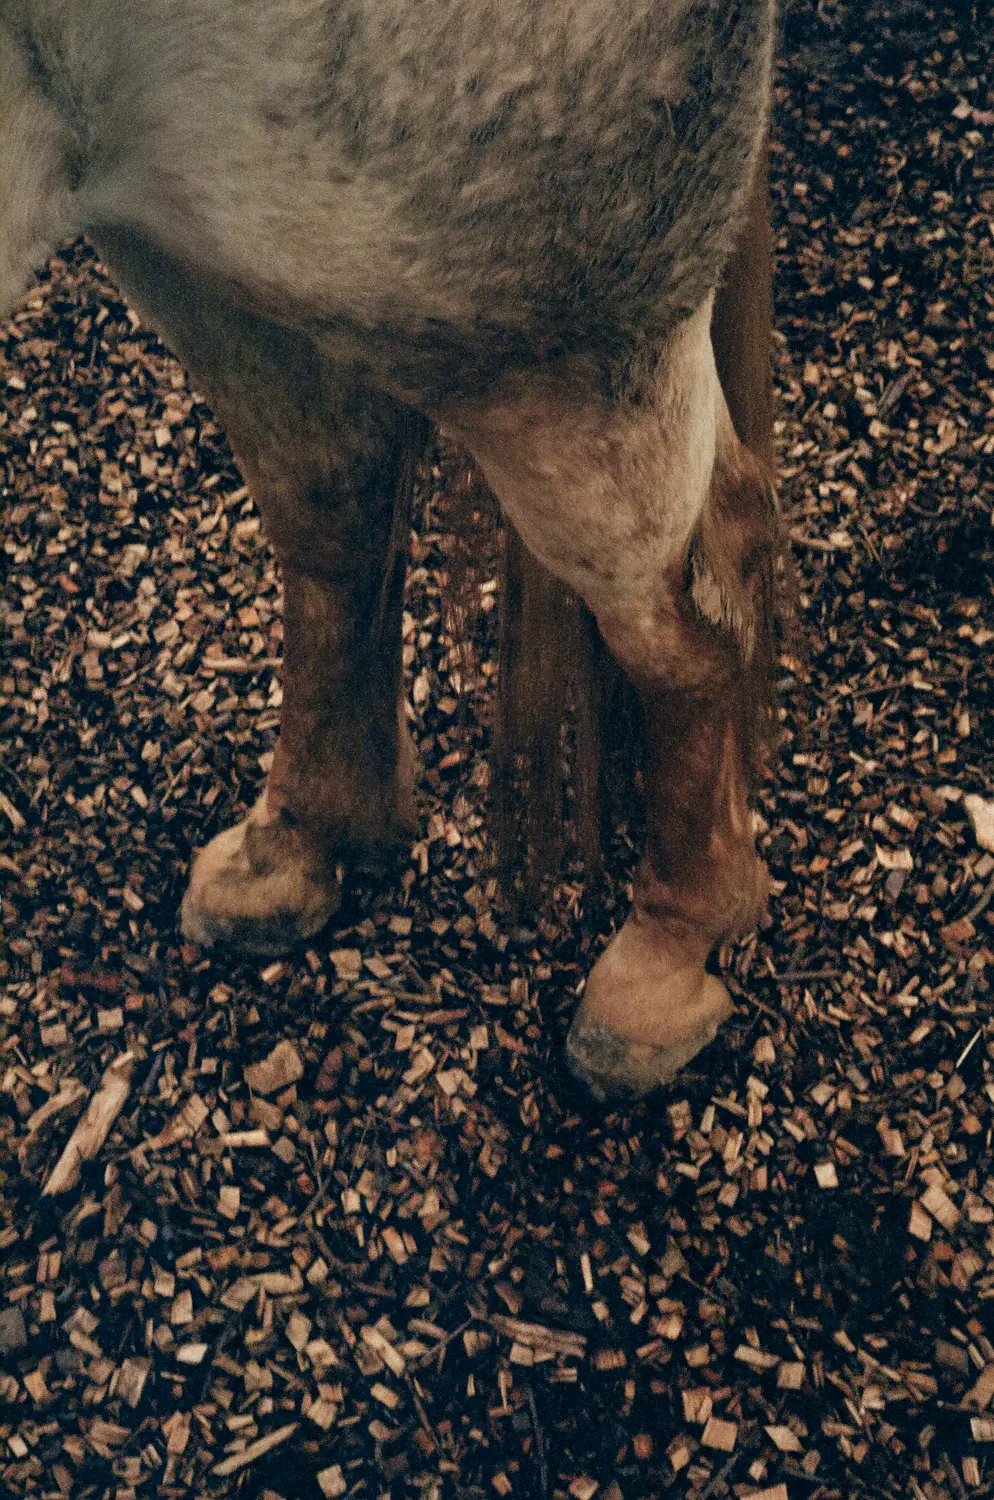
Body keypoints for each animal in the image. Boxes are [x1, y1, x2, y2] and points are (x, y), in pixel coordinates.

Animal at [0, 0, 779, 1100]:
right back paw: (294, 847)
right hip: (228, 226)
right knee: (339, 499)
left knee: (687, 615)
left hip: (503, 297)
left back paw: (663, 963)